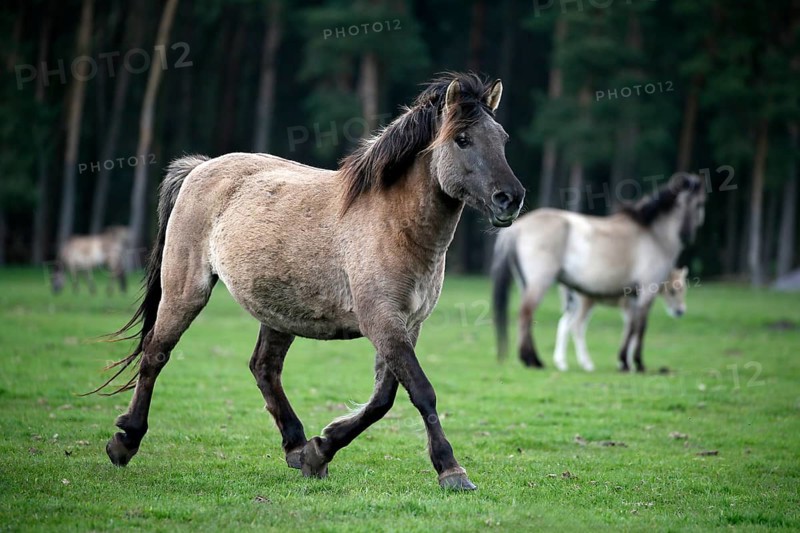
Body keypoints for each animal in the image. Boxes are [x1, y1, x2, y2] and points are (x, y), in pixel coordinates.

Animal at [96, 73, 525, 491]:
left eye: (503, 138)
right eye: (462, 139)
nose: (511, 198)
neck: (393, 222)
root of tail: (200, 168)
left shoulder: (407, 324)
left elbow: (383, 398)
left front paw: (321, 449)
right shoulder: (382, 321)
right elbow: (420, 392)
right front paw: (452, 470)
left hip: (278, 312)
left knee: (264, 368)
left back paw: (297, 446)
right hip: (186, 291)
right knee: (156, 353)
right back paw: (125, 441)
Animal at [553, 267, 689, 372]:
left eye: (684, 289)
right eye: (672, 291)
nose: (680, 311)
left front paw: (627, 364)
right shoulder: (628, 308)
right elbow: (631, 330)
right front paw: (626, 364)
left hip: (573, 305)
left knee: (564, 324)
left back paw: (562, 363)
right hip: (586, 302)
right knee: (576, 326)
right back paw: (587, 364)